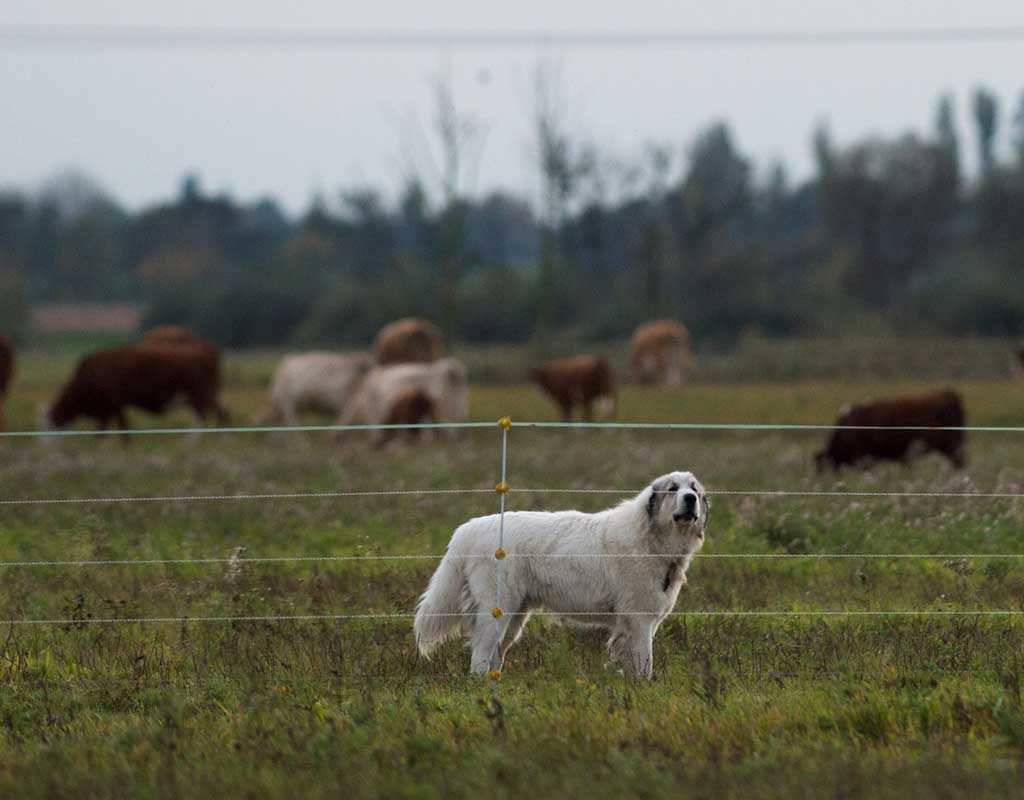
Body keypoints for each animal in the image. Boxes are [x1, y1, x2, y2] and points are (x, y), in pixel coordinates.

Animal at [45, 344, 228, 430]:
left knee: (204, 418)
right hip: (204, 395)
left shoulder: (113, 404)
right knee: (218, 414)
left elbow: (118, 428)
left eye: (52, 420)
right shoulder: (111, 406)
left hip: (198, 395)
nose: (47, 445)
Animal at [411, 471, 708, 676]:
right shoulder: (640, 621)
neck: (652, 537)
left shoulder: (639, 624)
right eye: (673, 489)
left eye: (694, 488)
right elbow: (645, 665)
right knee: (480, 659)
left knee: (494, 655)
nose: (690, 499)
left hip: (514, 616)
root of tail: (469, 528)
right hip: (498, 610)